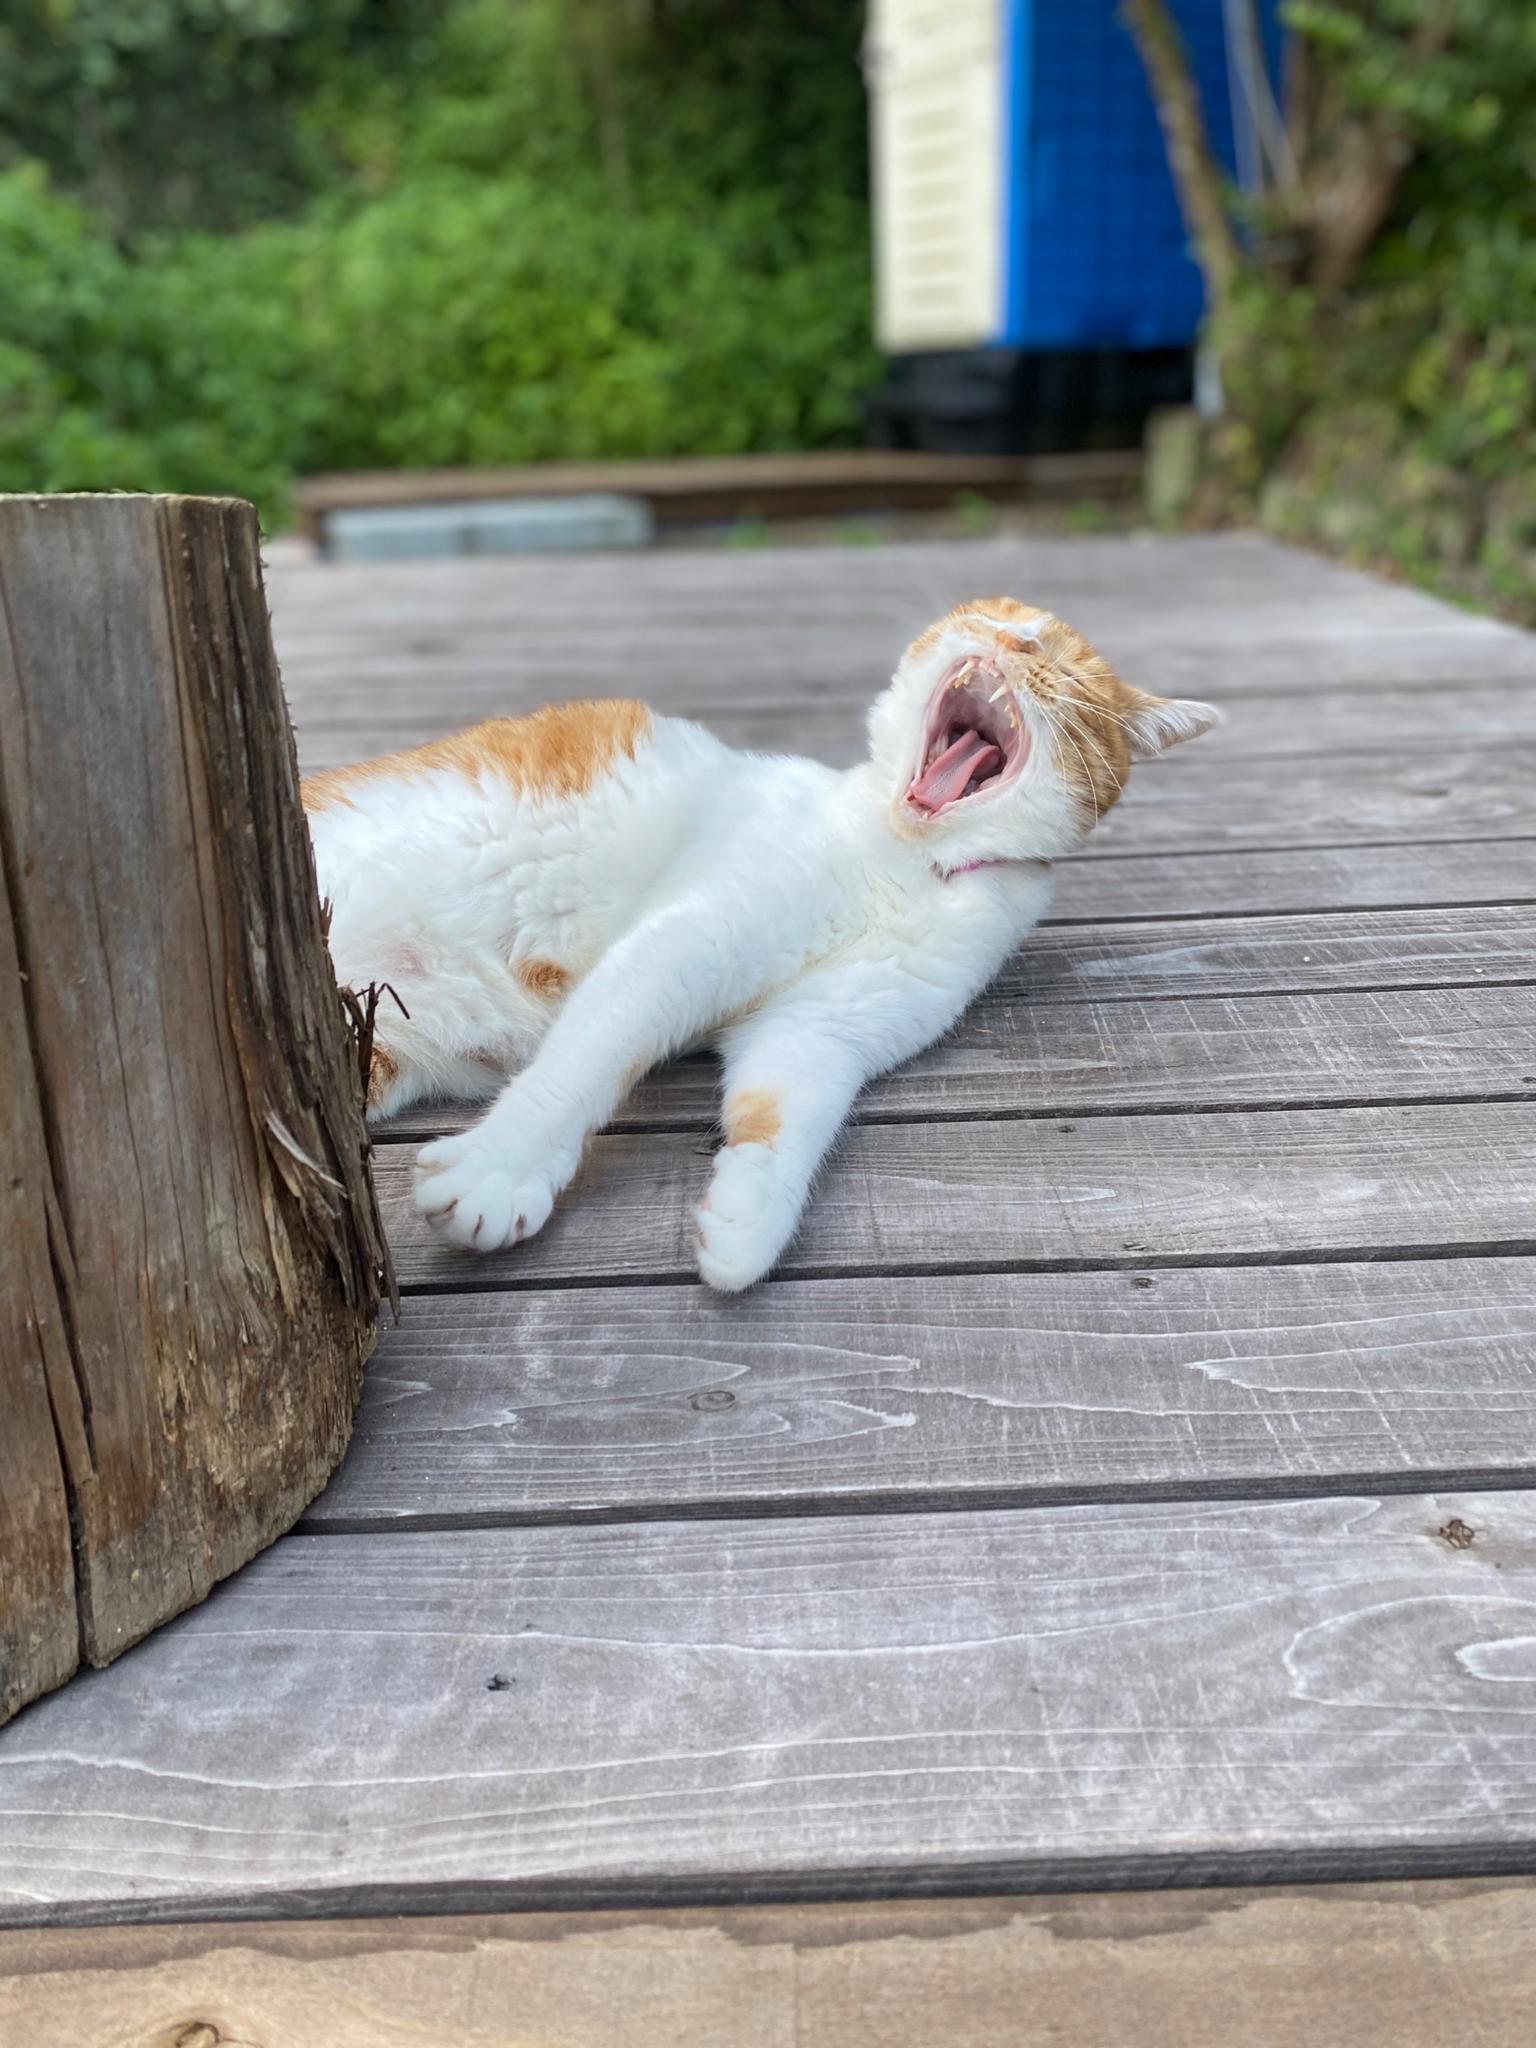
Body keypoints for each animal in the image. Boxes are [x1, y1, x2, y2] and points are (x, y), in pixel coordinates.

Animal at [303, 598, 1212, 1286]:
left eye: (1066, 665)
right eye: (997, 618)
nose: (1013, 643)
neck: (910, 861)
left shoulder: (823, 1031)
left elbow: (786, 1113)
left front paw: (746, 1223)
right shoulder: (689, 942)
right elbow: (592, 1056)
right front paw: (503, 1167)